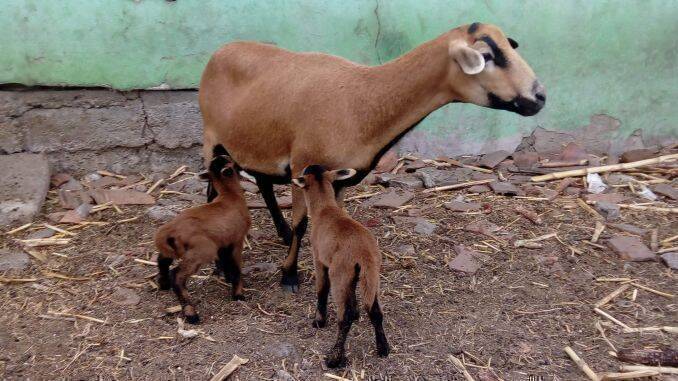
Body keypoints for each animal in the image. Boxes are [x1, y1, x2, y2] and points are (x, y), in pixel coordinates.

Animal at [155, 147, 251, 322]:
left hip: (176, 249)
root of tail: (170, 230)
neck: (230, 196)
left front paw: (227, 279)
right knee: (177, 276)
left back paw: (164, 284)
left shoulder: (222, 241)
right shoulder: (236, 239)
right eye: (231, 160)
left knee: (162, 260)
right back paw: (191, 313)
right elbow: (235, 266)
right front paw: (238, 294)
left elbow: (225, 262)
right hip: (202, 250)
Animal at [199, 21, 544, 290]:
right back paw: (222, 264)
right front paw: (289, 277)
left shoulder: (337, 178)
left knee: (262, 181)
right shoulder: (301, 165)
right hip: (212, 138)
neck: (363, 99)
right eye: (487, 57)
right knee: (213, 189)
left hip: (252, 140)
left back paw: (278, 233)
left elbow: (334, 221)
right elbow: (302, 224)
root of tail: (221, 50)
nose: (540, 97)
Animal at [294, 165, 394, 366]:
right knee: (375, 311)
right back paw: (383, 348)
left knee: (344, 318)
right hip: (371, 276)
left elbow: (321, 289)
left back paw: (334, 358)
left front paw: (319, 321)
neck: (325, 208)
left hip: (339, 274)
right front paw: (356, 312)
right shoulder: (354, 275)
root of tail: (363, 253)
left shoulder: (319, 259)